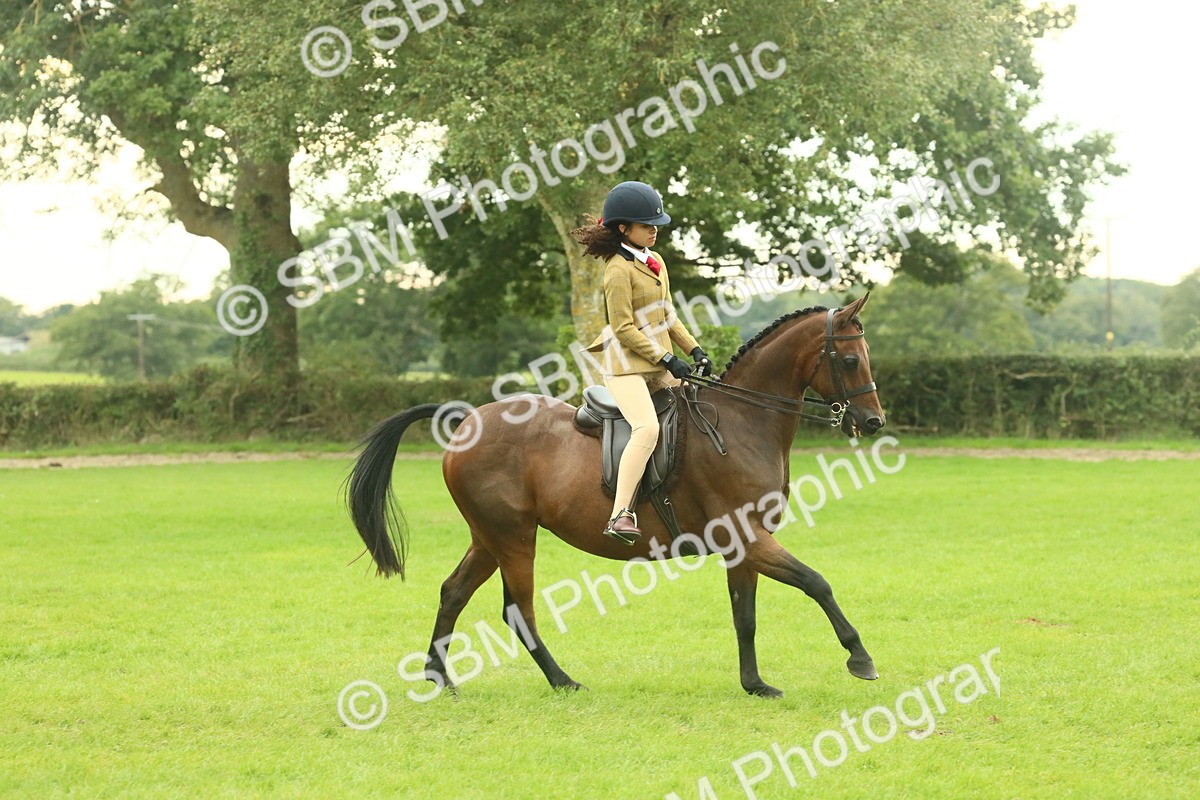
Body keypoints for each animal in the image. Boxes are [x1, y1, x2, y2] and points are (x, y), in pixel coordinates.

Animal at [346, 293, 885, 697]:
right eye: (850, 359)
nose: (874, 422)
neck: (741, 421)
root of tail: (468, 419)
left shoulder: (742, 546)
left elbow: (745, 615)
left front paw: (754, 684)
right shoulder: (748, 536)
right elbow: (816, 583)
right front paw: (860, 657)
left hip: (488, 537)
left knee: (454, 591)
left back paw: (440, 677)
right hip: (513, 538)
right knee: (518, 610)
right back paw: (562, 681)